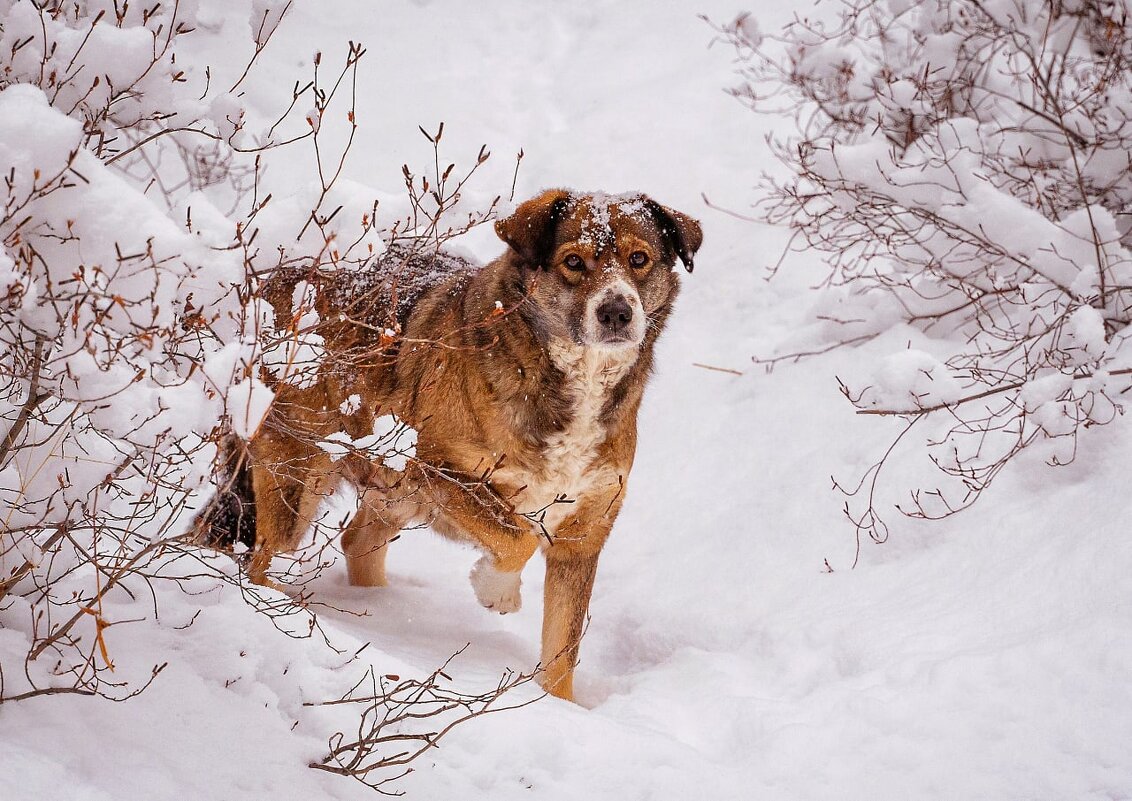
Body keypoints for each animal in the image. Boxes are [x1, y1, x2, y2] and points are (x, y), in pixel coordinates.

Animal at [200, 188, 701, 701]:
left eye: (639, 259)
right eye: (573, 262)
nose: (617, 312)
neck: (568, 378)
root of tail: (268, 283)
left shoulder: (582, 535)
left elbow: (562, 654)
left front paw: (557, 706)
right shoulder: (437, 469)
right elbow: (516, 537)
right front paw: (496, 591)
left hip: (390, 491)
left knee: (357, 539)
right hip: (299, 481)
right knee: (262, 560)